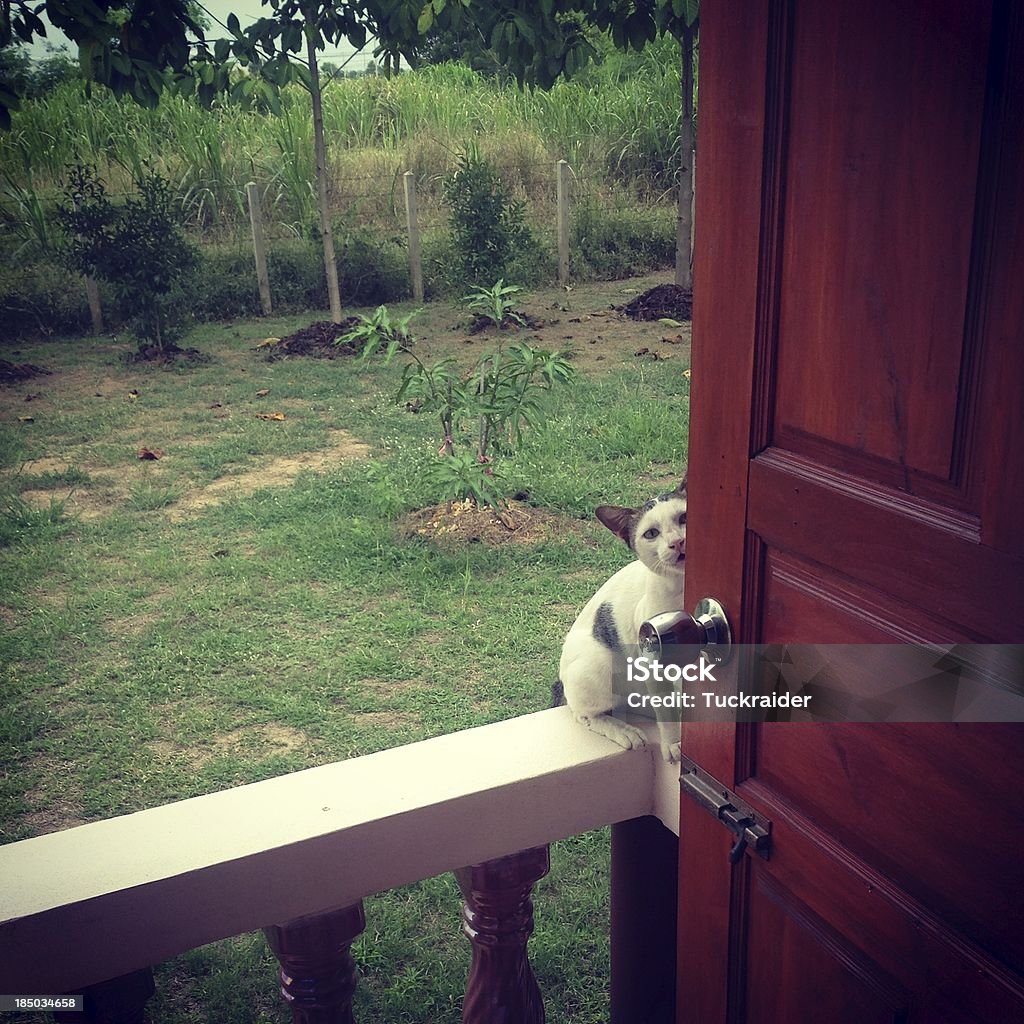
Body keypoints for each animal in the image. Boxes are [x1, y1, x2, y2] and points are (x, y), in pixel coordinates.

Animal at [552, 477, 688, 761]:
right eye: (651, 534)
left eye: (683, 518)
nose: (677, 542)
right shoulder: (655, 661)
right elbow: (667, 711)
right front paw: (674, 743)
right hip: (598, 664)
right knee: (583, 714)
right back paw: (624, 731)